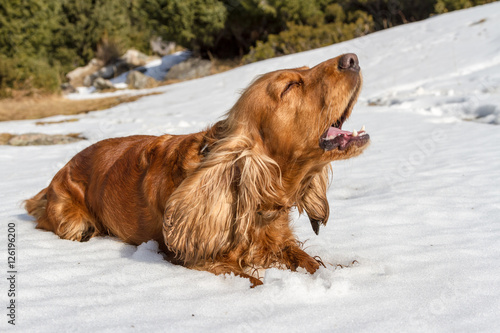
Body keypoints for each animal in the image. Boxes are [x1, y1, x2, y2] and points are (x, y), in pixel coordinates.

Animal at [26, 53, 372, 284]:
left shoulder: (281, 241)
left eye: (305, 69)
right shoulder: (199, 259)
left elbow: (310, 262)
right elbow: (251, 279)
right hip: (71, 220)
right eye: (290, 87)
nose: (353, 59)